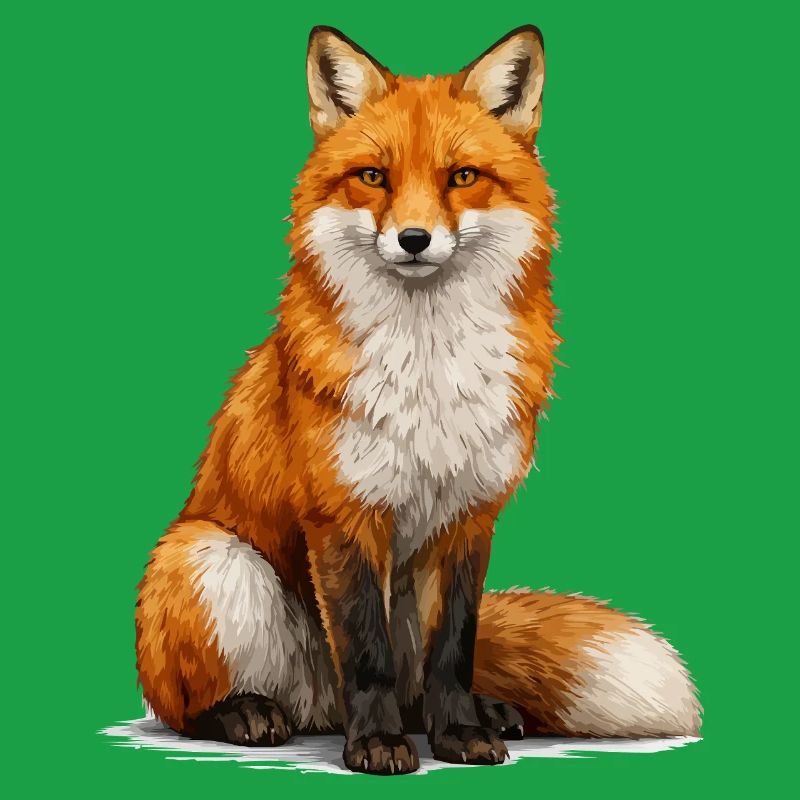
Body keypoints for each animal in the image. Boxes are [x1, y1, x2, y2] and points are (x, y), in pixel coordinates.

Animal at [135, 25, 701, 775]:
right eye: (374, 177)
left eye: (461, 177)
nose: (412, 239)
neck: (430, 370)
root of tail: (317, 707)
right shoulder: (344, 514)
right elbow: (365, 652)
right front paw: (376, 746)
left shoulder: (469, 517)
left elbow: (453, 651)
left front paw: (459, 732)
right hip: (209, 558)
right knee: (189, 706)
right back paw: (246, 713)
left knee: (419, 685)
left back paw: (472, 713)